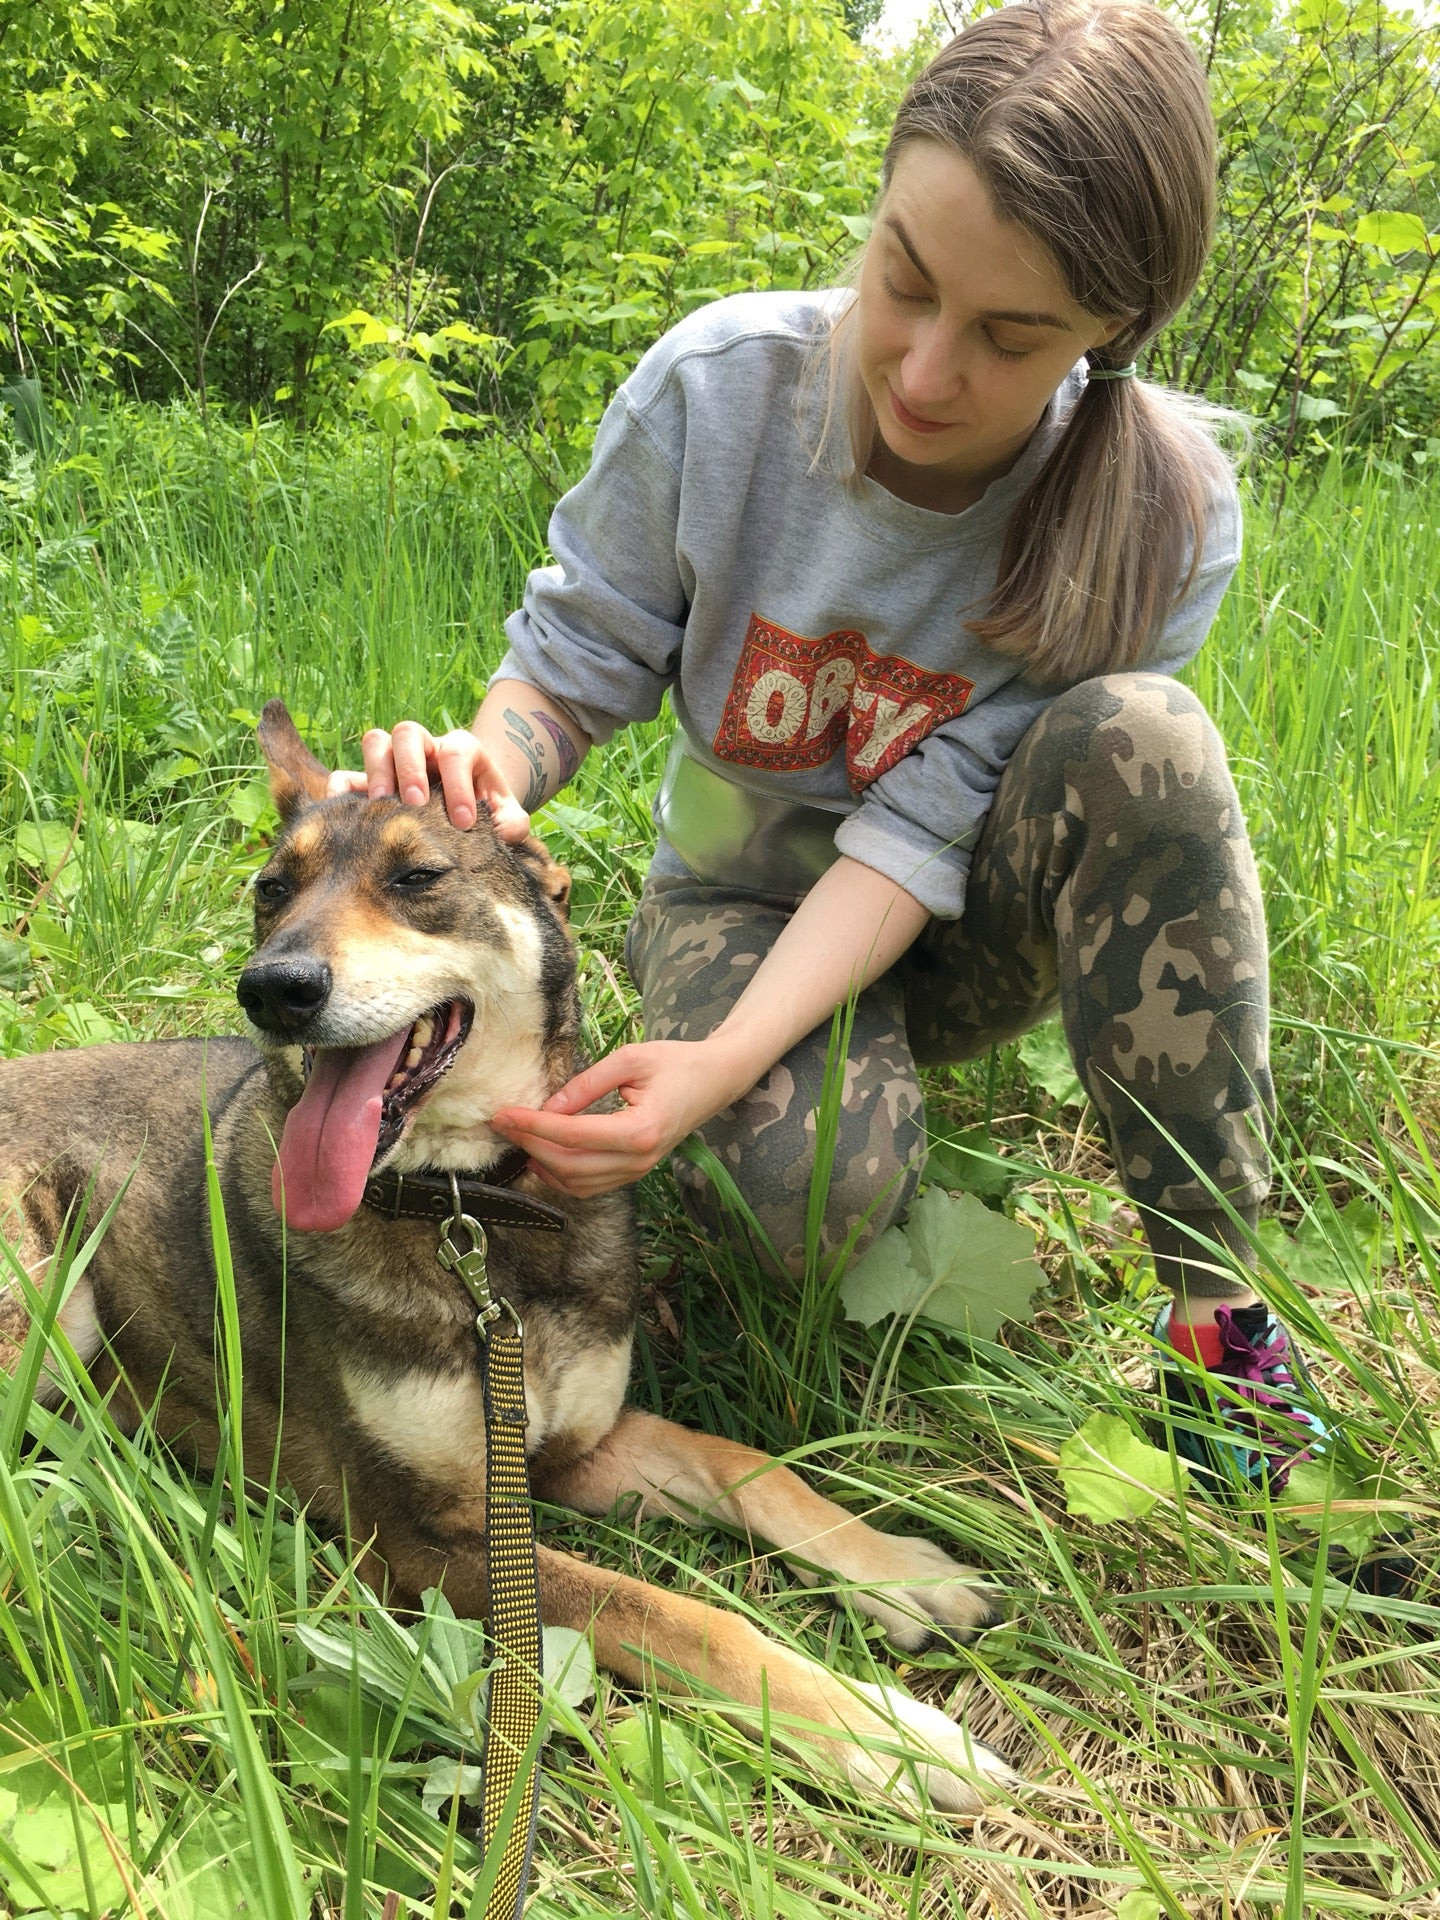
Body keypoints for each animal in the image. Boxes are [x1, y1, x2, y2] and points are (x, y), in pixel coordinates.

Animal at [0, 698, 1013, 1804]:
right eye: (272, 890)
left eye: (417, 878)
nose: (273, 988)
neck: (474, 1216)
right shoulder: (424, 1542)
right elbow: (673, 1612)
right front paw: (886, 1733)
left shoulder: (568, 1453)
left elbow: (747, 1466)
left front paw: (905, 1572)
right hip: (47, 1301)